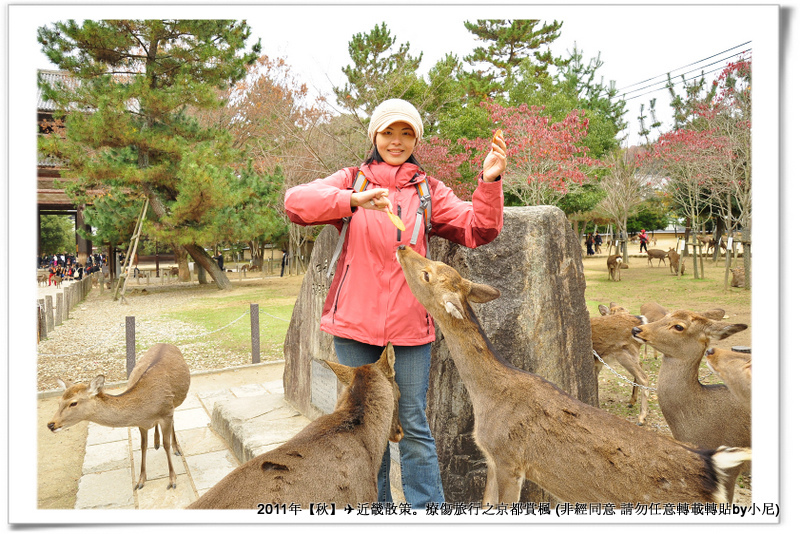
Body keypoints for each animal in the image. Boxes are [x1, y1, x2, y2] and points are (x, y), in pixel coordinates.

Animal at [47, 346, 191, 492]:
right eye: (59, 402)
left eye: (73, 403)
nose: (51, 424)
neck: (145, 411)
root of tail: (166, 343)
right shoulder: (141, 424)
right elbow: (143, 446)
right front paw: (140, 481)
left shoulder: (166, 413)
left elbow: (166, 444)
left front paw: (172, 480)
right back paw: (156, 442)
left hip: (175, 402)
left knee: (173, 422)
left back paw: (176, 448)